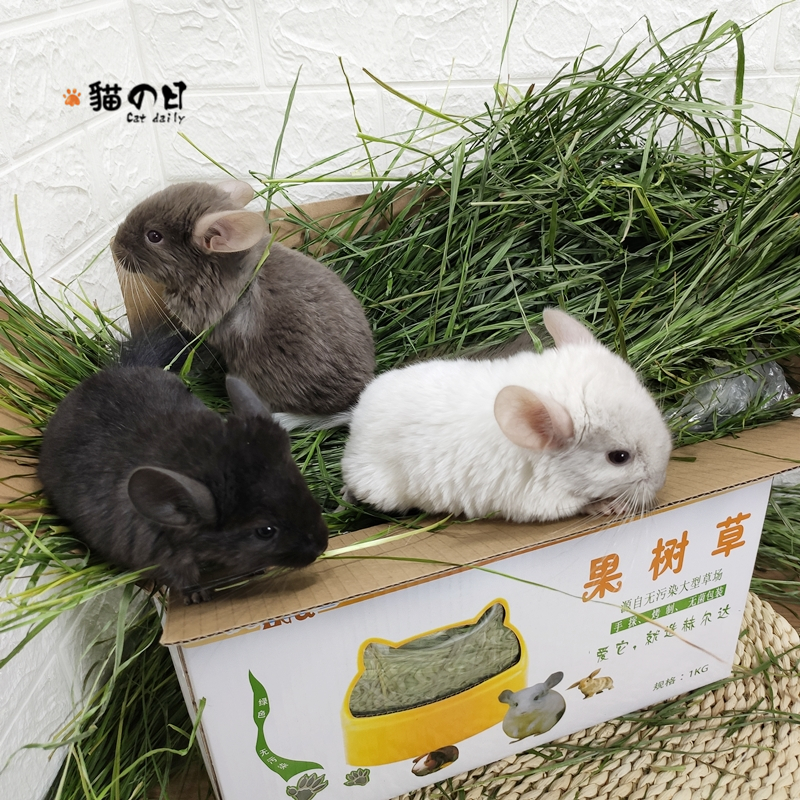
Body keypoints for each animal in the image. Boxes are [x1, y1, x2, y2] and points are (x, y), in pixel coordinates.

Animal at [37, 344, 329, 604]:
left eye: (303, 486)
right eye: (265, 531)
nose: (322, 546)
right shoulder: (162, 559)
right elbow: (182, 580)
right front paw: (199, 596)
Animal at [340, 308, 672, 523]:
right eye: (619, 457)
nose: (661, 481)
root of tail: (358, 412)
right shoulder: (541, 502)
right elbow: (578, 506)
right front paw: (608, 507)